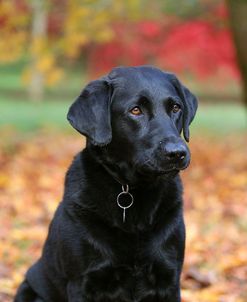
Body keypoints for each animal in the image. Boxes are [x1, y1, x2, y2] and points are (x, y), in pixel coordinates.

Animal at [14, 66, 197, 302]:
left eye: (176, 108)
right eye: (135, 111)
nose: (177, 153)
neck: (133, 191)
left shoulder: (169, 279)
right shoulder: (82, 283)